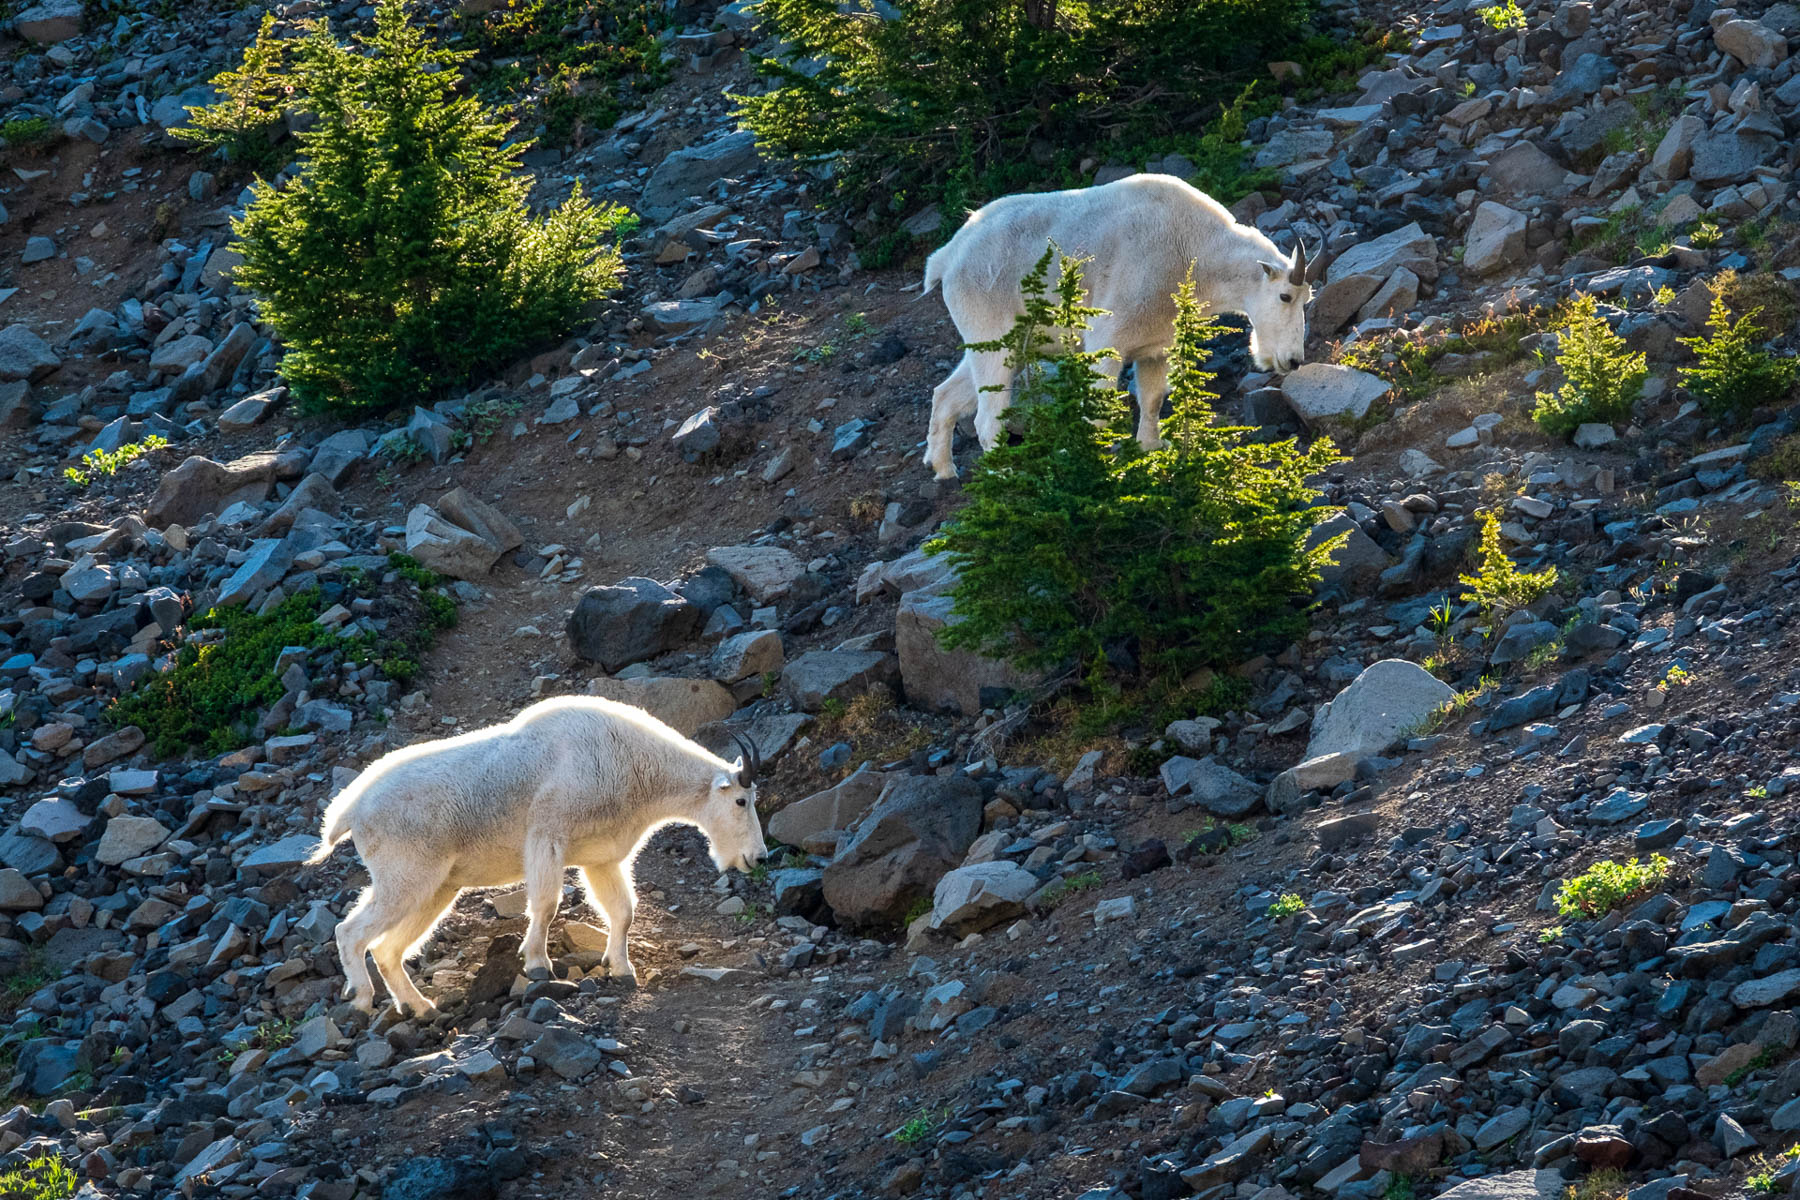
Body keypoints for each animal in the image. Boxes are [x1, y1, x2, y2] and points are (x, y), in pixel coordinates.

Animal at [307, 694, 766, 1014]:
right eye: (742, 800)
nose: (757, 858)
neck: (633, 764)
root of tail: (349, 810)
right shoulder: (548, 836)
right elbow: (546, 904)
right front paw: (538, 965)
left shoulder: (602, 858)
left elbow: (623, 911)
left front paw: (622, 970)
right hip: (406, 877)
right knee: (350, 932)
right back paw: (362, 999)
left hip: (436, 887)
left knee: (387, 949)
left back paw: (420, 1008)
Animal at [921, 172, 1317, 478]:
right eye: (1285, 296)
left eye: (1307, 300)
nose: (1292, 360)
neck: (1195, 252)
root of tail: (949, 256)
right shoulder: (1107, 340)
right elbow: (1099, 411)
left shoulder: (1155, 346)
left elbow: (1153, 399)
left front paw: (1149, 447)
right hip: (993, 332)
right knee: (987, 418)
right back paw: (1004, 477)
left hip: (1007, 342)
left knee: (946, 393)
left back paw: (943, 469)